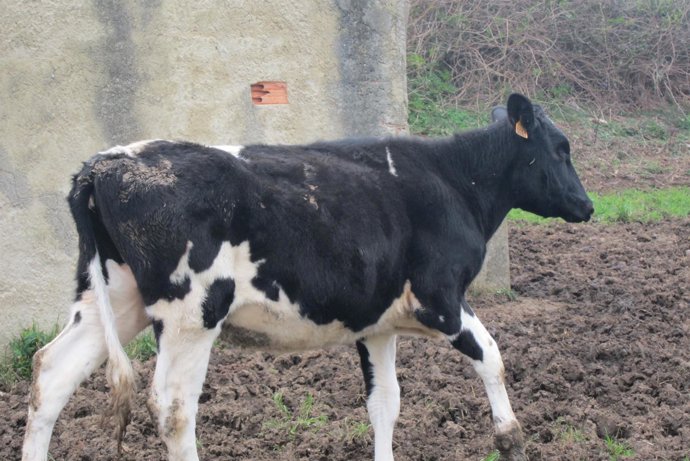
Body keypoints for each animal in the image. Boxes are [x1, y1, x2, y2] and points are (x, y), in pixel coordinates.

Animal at [22, 93, 593, 461]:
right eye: (562, 148)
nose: (587, 205)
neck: (455, 182)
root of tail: (105, 163)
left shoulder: (377, 322)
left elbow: (385, 404)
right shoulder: (441, 299)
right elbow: (493, 357)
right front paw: (511, 439)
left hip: (114, 300)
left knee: (51, 373)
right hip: (192, 314)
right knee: (173, 407)